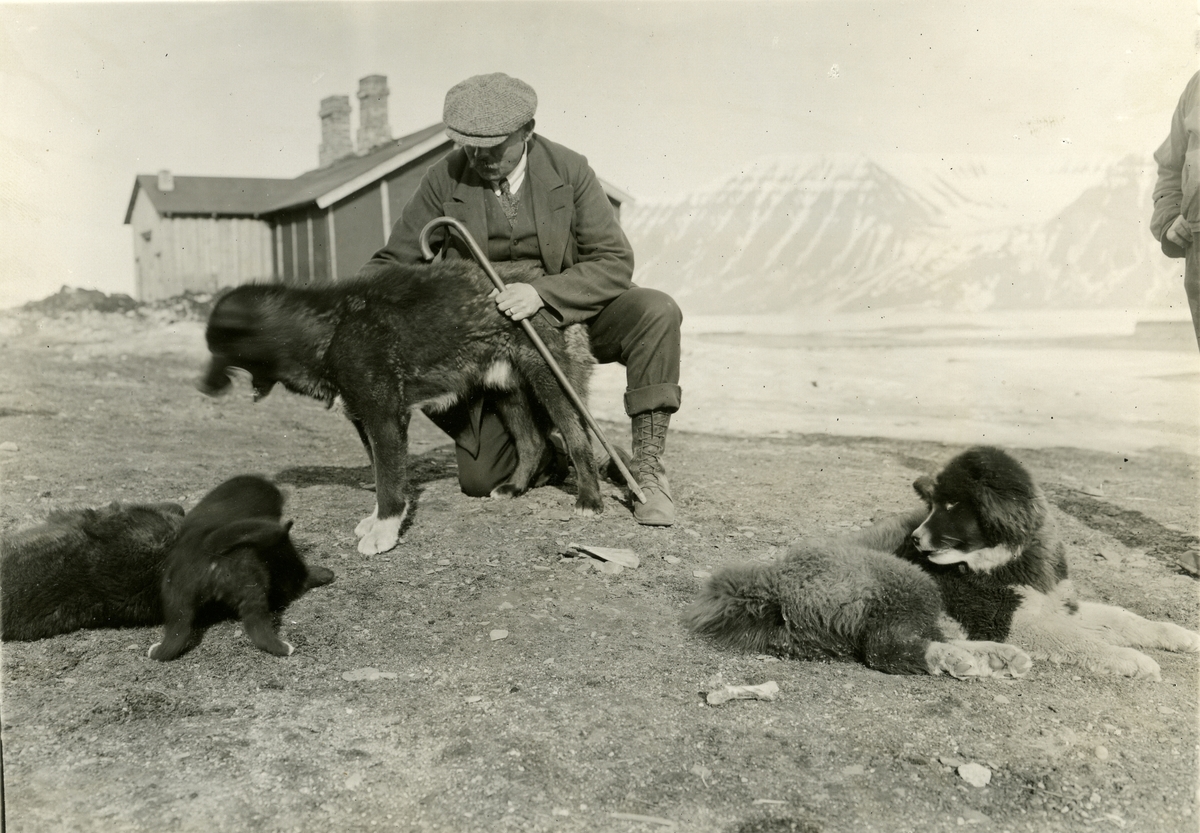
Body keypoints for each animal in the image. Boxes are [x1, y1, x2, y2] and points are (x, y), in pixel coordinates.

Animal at [200, 260, 601, 555]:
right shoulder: (364, 420)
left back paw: (589, 499)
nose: (202, 388)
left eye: (219, 349)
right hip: (506, 390)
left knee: (577, 440)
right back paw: (515, 488)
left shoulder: (385, 418)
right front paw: (378, 520)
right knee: (532, 442)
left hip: (551, 383)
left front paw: (384, 532)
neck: (329, 329)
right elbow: (382, 474)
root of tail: (538, 281)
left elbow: (388, 482)